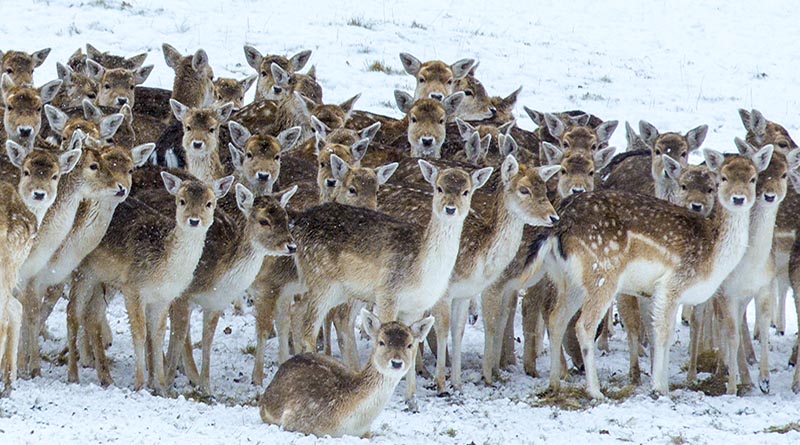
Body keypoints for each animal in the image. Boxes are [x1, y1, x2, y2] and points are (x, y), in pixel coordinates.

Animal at [69, 173, 233, 392]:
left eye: (209, 203)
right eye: (181, 201)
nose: (194, 220)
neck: (164, 269)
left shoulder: (164, 298)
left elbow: (158, 335)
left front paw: (162, 387)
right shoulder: (133, 287)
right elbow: (140, 333)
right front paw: (140, 384)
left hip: (103, 278)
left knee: (91, 315)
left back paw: (106, 377)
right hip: (82, 270)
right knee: (73, 312)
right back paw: (73, 375)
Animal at [524, 144, 776, 398]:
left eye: (753, 178)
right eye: (723, 178)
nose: (738, 198)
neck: (713, 254)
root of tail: (560, 222)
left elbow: (664, 332)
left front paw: (662, 382)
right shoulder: (672, 284)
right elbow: (662, 333)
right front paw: (659, 387)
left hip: (569, 280)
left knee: (556, 318)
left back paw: (554, 383)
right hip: (603, 273)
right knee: (583, 326)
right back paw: (594, 391)